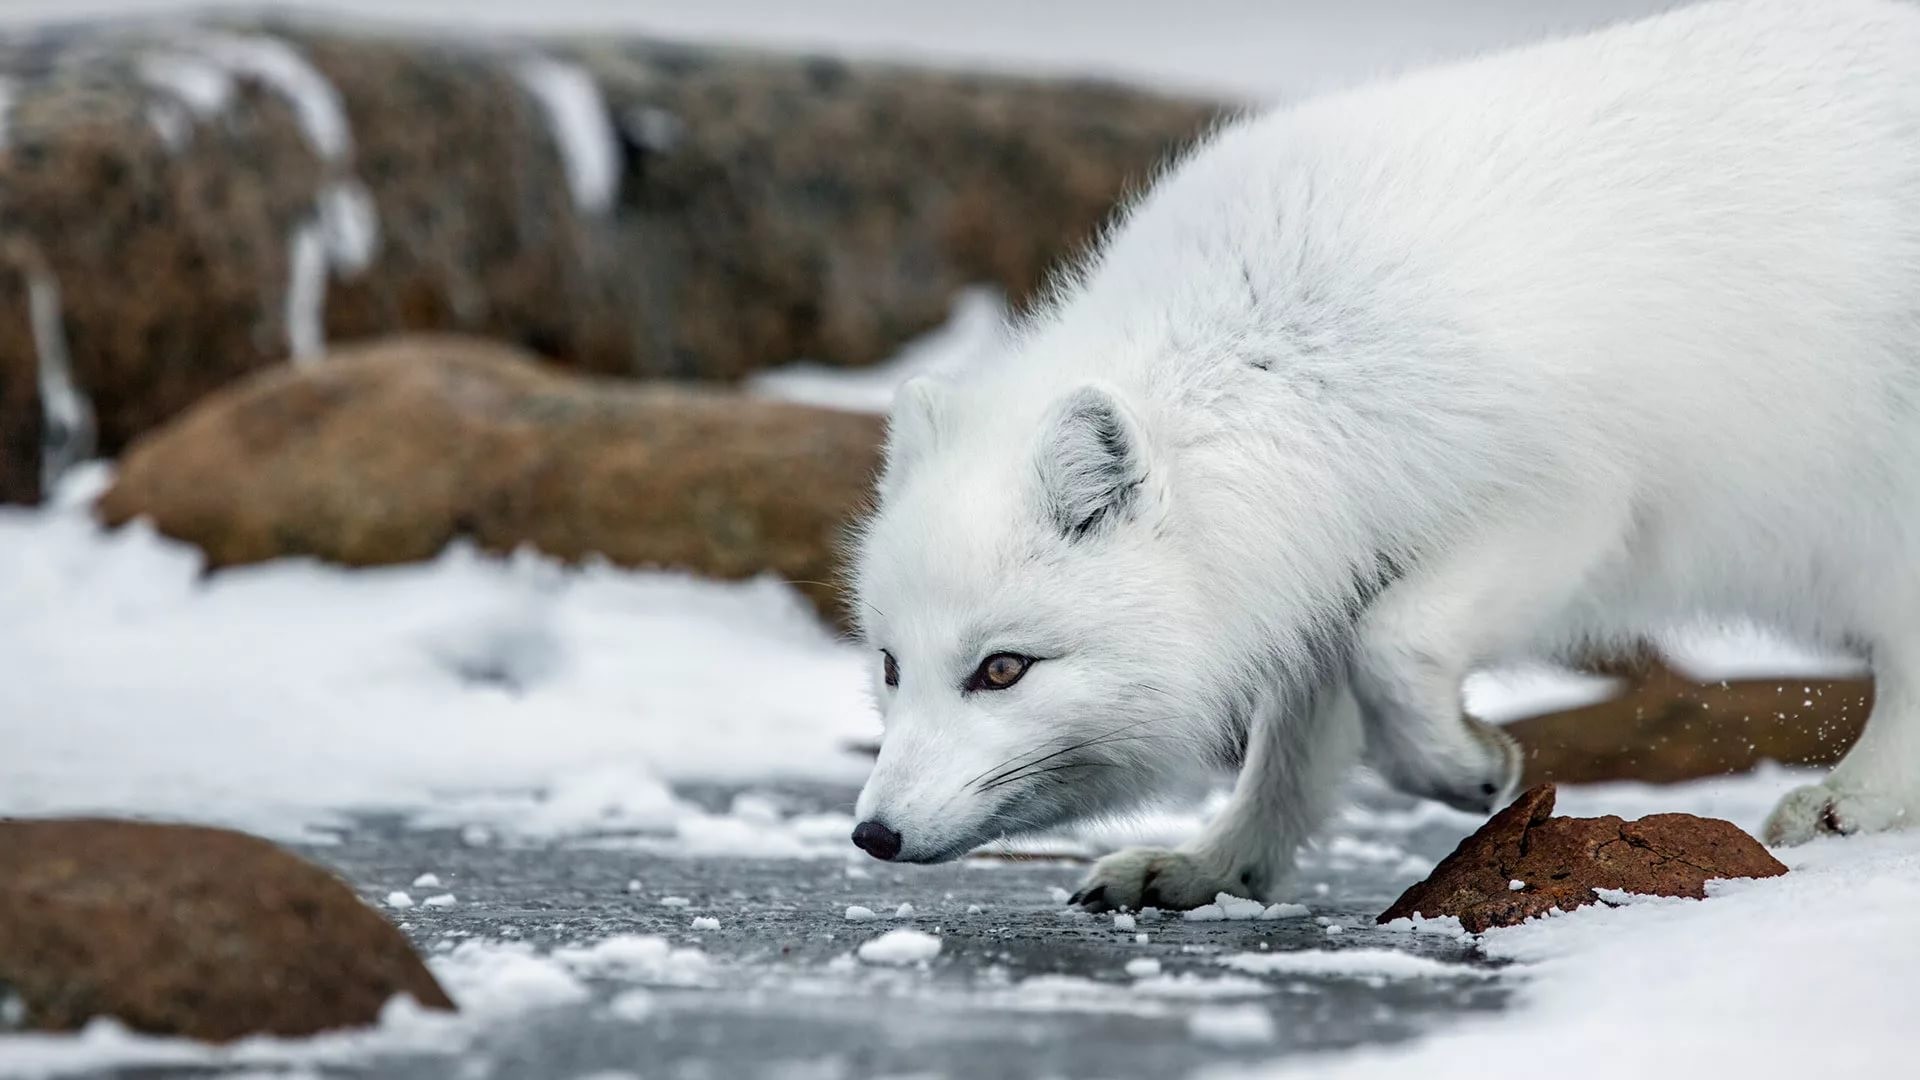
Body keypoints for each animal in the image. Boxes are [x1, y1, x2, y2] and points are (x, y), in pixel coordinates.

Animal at [848, 0, 1920, 907]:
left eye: (1002, 669)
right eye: (891, 665)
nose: (873, 835)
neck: (1284, 362)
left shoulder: (1565, 504)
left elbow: (1393, 646)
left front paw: (1467, 765)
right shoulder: (1321, 556)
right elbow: (1293, 746)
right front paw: (1217, 866)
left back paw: (1853, 801)